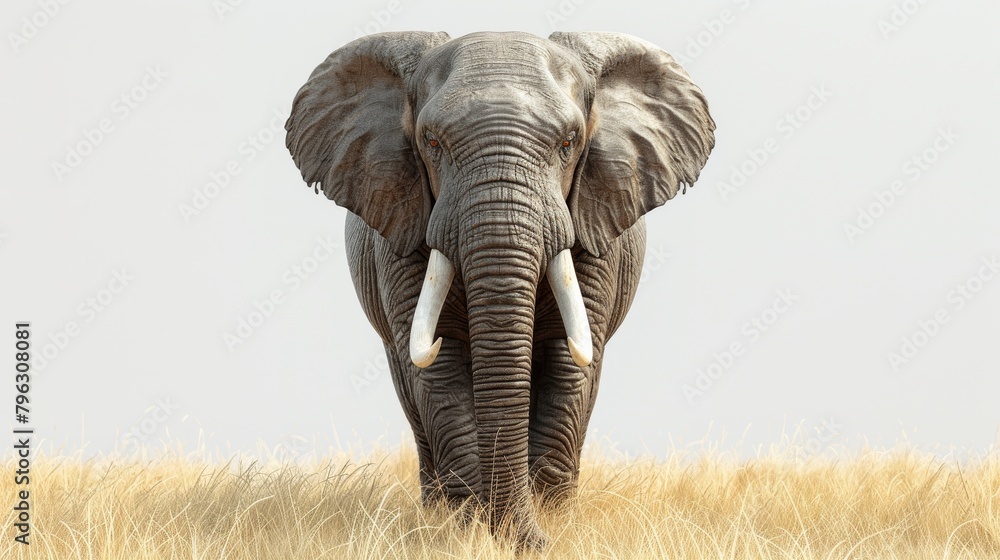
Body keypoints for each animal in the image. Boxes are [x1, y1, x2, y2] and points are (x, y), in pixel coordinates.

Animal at [284, 30, 714, 549]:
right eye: (431, 142)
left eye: (568, 143)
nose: (536, 541)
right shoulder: (401, 223)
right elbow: (438, 365)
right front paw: (466, 526)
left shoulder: (596, 222)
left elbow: (569, 359)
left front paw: (549, 522)